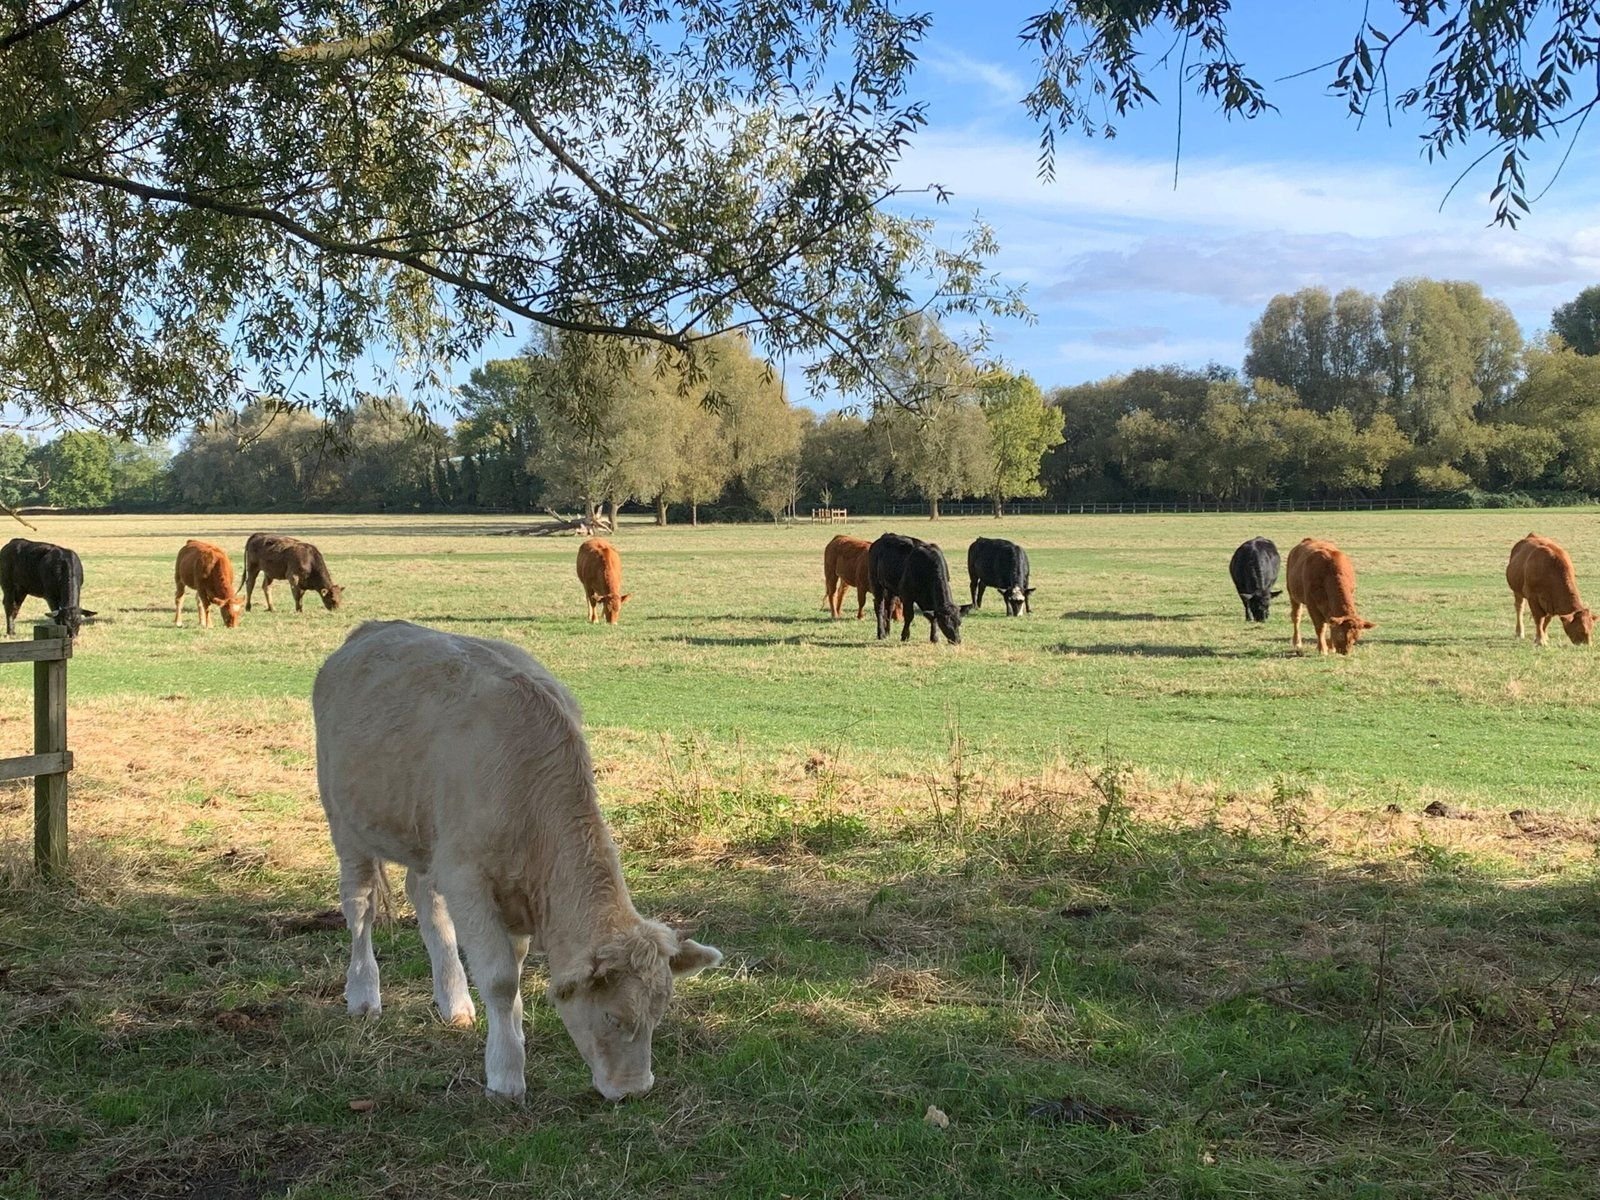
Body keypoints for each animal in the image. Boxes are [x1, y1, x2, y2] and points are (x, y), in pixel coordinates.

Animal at [312, 621, 721, 1102]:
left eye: (657, 1016)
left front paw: (514, 1030)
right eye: (611, 1017)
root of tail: (371, 630)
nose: (634, 1091)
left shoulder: (507, 885)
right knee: (359, 905)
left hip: (426, 838)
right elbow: (500, 977)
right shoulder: (468, 878)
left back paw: (453, 1001)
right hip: (345, 821)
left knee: (427, 903)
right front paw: (506, 1072)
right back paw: (363, 994)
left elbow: (517, 964)